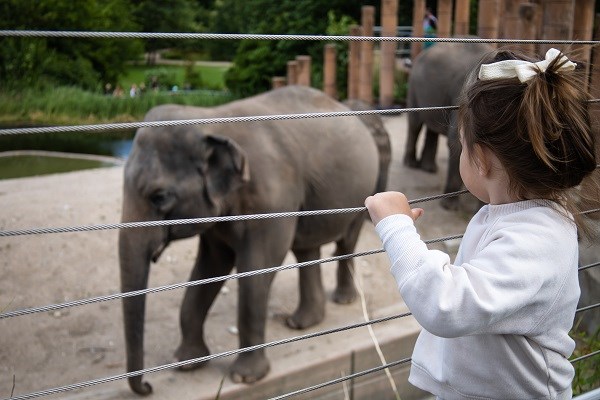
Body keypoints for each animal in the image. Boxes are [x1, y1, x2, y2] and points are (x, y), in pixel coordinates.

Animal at [118, 84, 380, 394]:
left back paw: (342, 300)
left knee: (346, 242)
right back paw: (301, 323)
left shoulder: (273, 199)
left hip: (364, 191)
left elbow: (257, 268)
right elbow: (211, 266)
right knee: (306, 250)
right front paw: (186, 364)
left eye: (159, 197)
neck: (211, 120)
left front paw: (245, 378)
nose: (148, 387)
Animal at [404, 40, 492, 209]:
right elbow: (456, 142)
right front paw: (449, 207)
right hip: (414, 89)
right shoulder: (461, 98)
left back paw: (429, 168)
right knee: (415, 124)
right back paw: (411, 164)